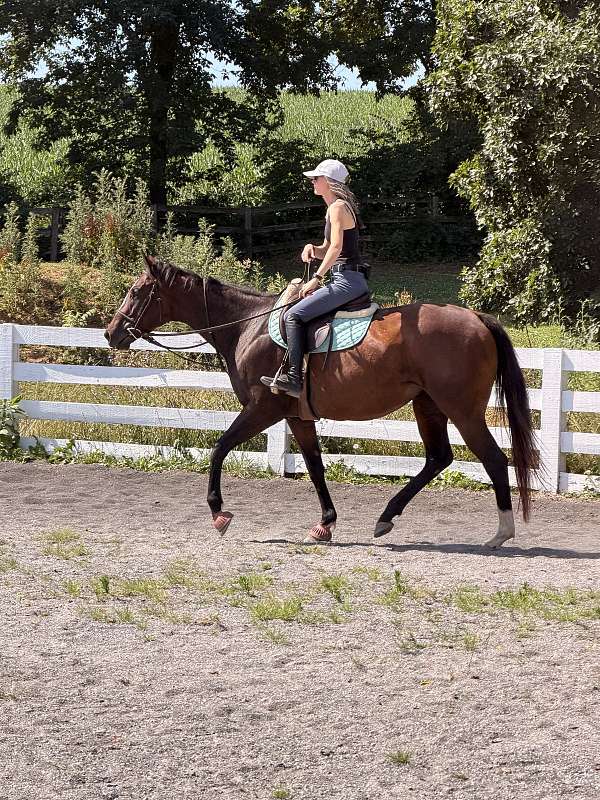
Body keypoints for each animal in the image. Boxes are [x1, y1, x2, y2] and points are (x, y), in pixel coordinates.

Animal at [104, 254, 537, 547]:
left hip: (461, 409)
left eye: (137, 291)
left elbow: (219, 448)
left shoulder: (262, 409)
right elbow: (314, 466)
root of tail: (478, 318)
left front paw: (218, 513)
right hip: (427, 405)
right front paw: (326, 523)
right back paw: (386, 517)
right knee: (438, 458)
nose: (111, 333)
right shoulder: (297, 416)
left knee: (493, 459)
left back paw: (501, 532)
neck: (249, 326)